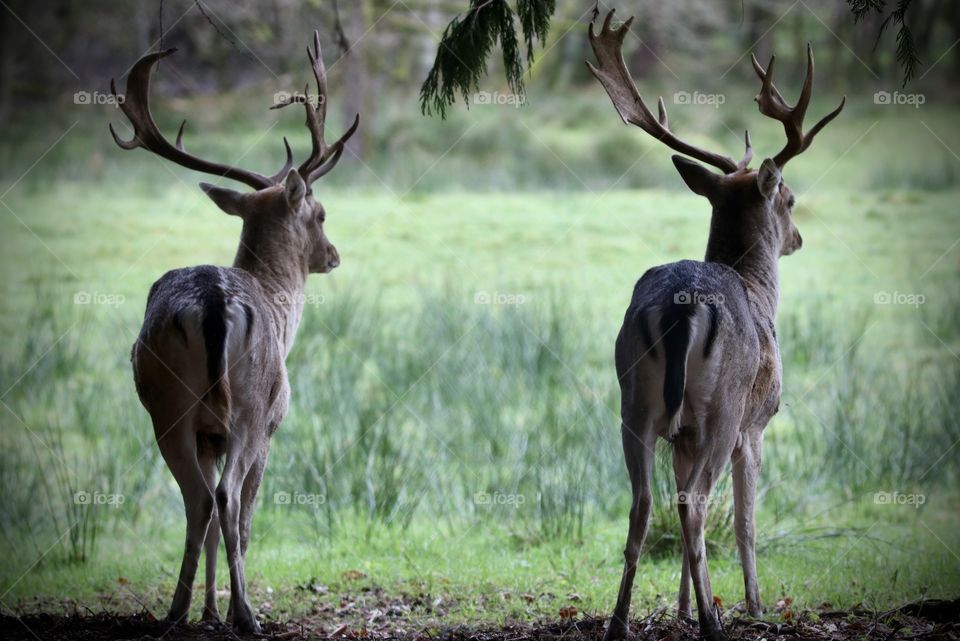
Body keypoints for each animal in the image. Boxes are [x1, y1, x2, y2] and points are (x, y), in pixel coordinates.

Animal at [111, 32, 358, 633]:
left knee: (197, 501)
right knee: (222, 499)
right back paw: (247, 614)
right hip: (247, 405)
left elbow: (209, 526)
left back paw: (177, 611)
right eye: (321, 213)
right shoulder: (273, 423)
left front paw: (208, 611)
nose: (334, 255)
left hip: (167, 406)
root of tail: (214, 303)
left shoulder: (209, 435)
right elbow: (244, 521)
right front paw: (229, 609)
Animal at [586, 10, 844, 641]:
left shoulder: (680, 435)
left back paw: (620, 620)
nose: (800, 239)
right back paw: (713, 621)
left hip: (633, 402)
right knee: (700, 505)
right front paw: (752, 604)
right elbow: (748, 520)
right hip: (722, 410)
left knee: (645, 504)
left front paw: (680, 606)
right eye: (790, 200)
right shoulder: (758, 422)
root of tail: (683, 307)